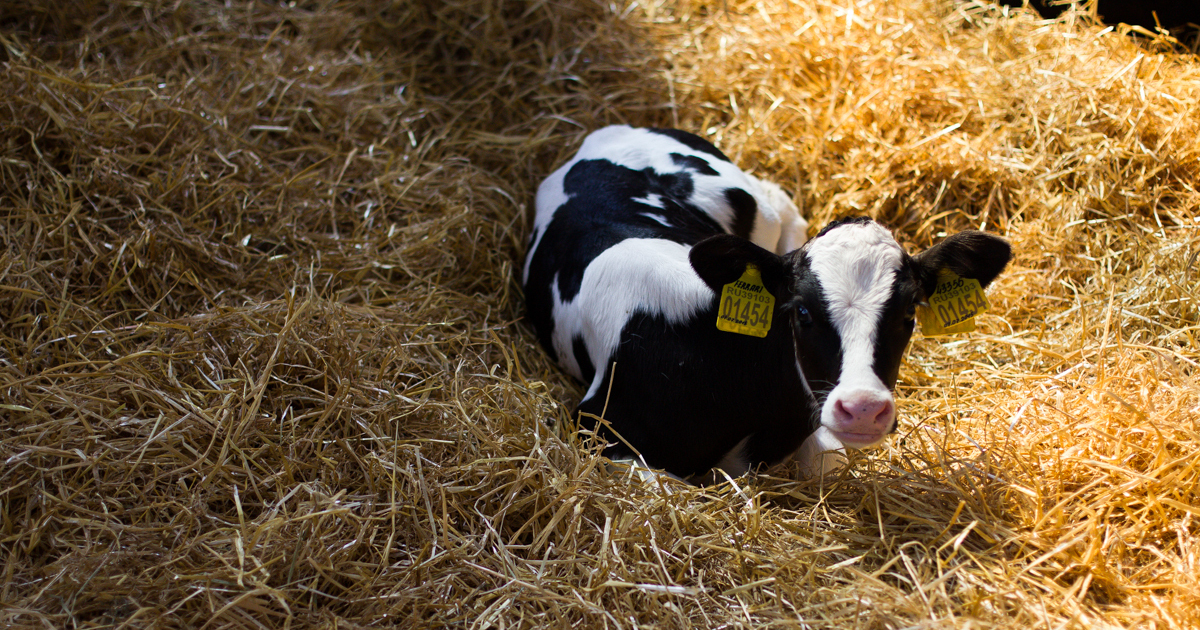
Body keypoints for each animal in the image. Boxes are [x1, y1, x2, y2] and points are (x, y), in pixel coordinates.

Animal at [525, 125, 1012, 480]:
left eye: (909, 313)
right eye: (801, 313)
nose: (863, 408)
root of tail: (611, 131)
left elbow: (825, 463)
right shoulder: (596, 427)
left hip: (754, 206)